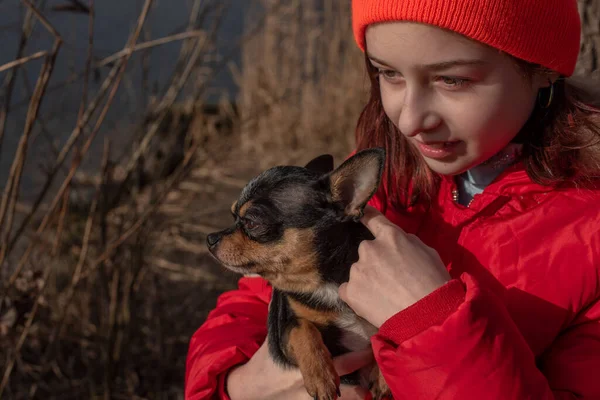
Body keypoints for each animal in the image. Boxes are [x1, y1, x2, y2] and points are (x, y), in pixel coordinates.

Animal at [209, 149, 392, 400]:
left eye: (251, 222)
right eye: (233, 217)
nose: (210, 238)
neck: (322, 282)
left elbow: (388, 325)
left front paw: (383, 378)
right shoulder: (283, 333)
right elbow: (303, 328)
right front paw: (320, 376)